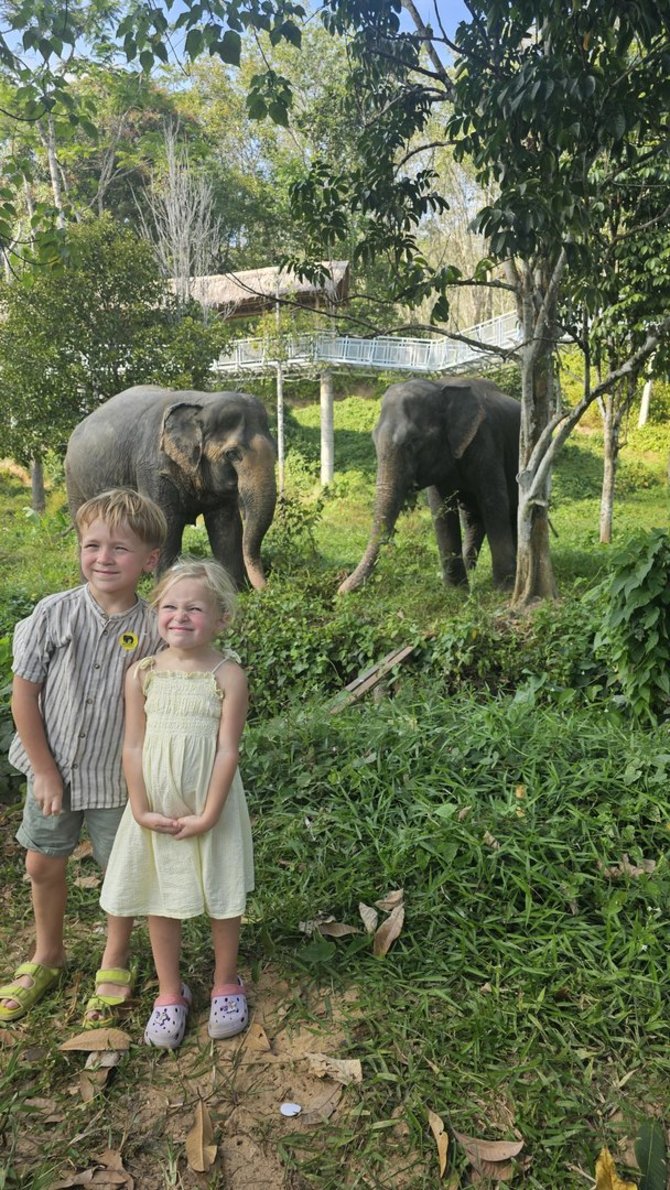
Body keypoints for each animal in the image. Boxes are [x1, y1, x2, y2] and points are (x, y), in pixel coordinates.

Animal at [66, 385, 276, 585]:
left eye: (274, 447)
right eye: (232, 453)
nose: (264, 587)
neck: (202, 401)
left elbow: (227, 525)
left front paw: (235, 589)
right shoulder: (154, 469)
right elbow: (166, 523)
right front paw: (163, 588)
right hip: (73, 480)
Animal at [337, 378, 521, 592]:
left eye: (413, 442)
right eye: (373, 439)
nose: (340, 591)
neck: (440, 386)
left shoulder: (487, 442)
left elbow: (494, 503)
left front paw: (504, 590)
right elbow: (441, 511)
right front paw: (455, 591)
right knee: (473, 519)